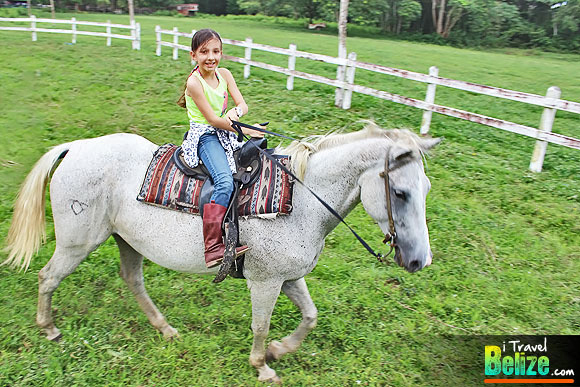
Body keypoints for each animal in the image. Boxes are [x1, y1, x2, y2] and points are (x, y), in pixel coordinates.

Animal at [3, 123, 440, 384]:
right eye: (400, 192)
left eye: (426, 189)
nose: (420, 261)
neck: (300, 199)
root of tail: (75, 148)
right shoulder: (265, 282)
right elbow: (261, 325)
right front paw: (263, 366)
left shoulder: (289, 277)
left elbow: (311, 316)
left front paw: (281, 349)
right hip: (78, 242)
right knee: (48, 277)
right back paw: (49, 328)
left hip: (126, 240)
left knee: (132, 280)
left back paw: (165, 329)